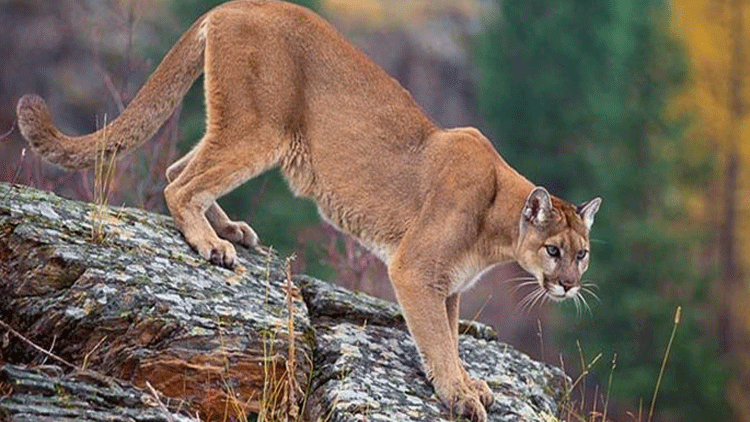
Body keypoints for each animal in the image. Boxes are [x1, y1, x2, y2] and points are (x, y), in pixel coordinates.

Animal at [16, 1, 604, 420]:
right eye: (553, 250)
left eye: (583, 254)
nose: (569, 286)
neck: (497, 222)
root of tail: (232, 6)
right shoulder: (415, 269)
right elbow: (438, 339)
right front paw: (459, 394)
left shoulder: (448, 285)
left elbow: (450, 338)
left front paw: (466, 382)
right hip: (260, 128)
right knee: (179, 183)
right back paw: (212, 244)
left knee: (176, 168)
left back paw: (230, 229)